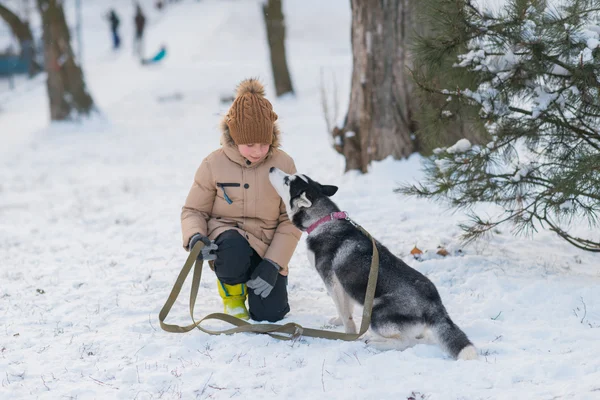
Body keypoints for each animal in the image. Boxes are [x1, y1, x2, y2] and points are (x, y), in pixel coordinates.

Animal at [268, 167, 478, 360]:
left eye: (287, 181)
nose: (271, 168)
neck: (323, 220)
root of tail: (435, 305)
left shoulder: (332, 281)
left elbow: (345, 311)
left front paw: (348, 335)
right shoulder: (342, 285)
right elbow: (346, 308)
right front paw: (338, 321)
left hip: (375, 313)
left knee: (405, 342)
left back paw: (374, 342)